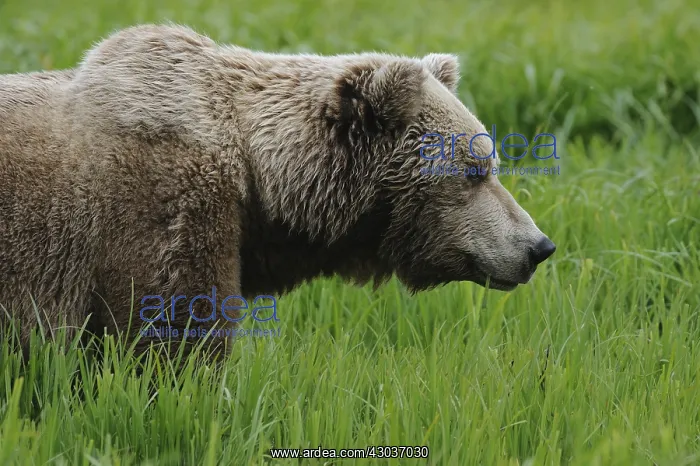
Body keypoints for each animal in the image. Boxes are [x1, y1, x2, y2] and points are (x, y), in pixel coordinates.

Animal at [0, 24, 556, 359]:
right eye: (474, 172)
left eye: (493, 163)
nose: (539, 247)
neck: (259, 185)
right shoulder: (159, 210)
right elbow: (171, 337)